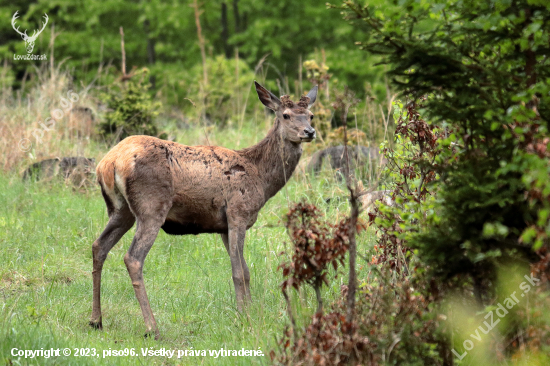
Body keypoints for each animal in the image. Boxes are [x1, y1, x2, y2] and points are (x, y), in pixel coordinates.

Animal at [88, 81, 316, 338]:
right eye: (286, 115)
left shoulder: (224, 226)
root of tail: (109, 163)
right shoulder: (238, 213)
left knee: (99, 246)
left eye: (310, 115)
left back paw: (96, 320)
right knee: (133, 258)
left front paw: (251, 312)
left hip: (121, 210)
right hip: (151, 207)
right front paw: (243, 317)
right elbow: (238, 272)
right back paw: (152, 328)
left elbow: (246, 271)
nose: (309, 132)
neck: (261, 178)